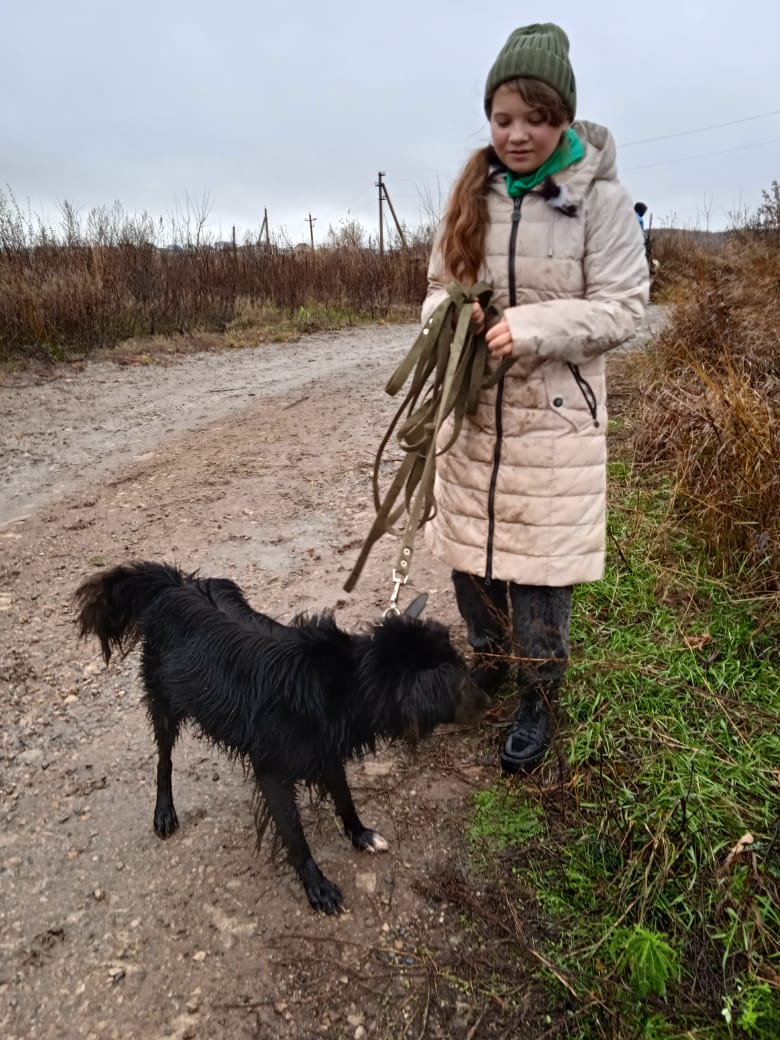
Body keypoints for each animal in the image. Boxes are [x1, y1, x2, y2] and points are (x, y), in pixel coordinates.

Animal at [73, 565, 488, 915]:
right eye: (461, 685)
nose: (490, 702)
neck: (344, 687)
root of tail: (173, 584)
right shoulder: (272, 772)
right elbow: (295, 836)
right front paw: (317, 887)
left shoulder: (326, 752)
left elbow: (345, 798)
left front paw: (360, 835)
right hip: (165, 702)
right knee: (163, 760)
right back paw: (164, 811)